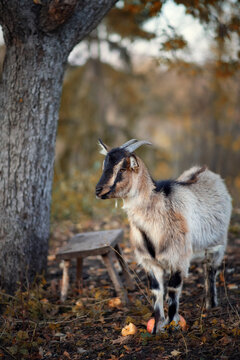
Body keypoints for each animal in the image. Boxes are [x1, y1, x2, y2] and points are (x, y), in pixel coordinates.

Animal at [95, 139, 232, 334]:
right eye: (104, 166)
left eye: (122, 169)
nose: (98, 190)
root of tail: (205, 170)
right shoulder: (150, 262)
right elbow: (156, 291)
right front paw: (156, 328)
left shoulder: (179, 259)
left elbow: (173, 290)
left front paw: (173, 326)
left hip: (218, 244)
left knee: (211, 270)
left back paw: (211, 305)